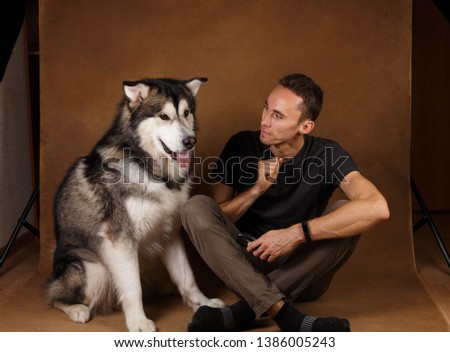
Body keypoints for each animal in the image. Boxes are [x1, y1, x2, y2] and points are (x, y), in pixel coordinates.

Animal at [44, 75, 224, 332]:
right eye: (164, 116)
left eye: (186, 112)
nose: (190, 141)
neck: (150, 168)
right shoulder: (120, 241)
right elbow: (132, 288)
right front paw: (138, 322)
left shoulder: (170, 233)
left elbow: (187, 276)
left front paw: (202, 303)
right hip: (94, 269)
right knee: (54, 296)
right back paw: (76, 308)